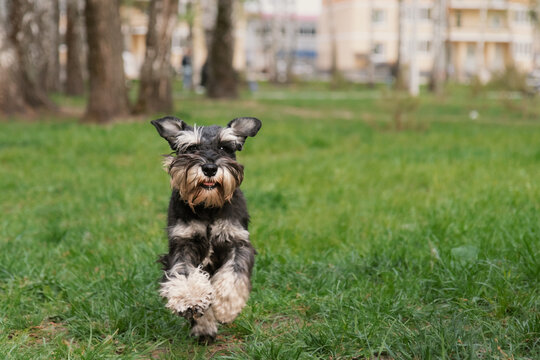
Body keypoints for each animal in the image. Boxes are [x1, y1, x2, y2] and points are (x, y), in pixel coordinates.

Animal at [151, 115, 262, 344]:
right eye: (192, 147)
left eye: (224, 147)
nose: (210, 168)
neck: (208, 206)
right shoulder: (182, 244)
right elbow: (184, 274)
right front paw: (190, 299)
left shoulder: (238, 242)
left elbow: (234, 273)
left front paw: (226, 306)